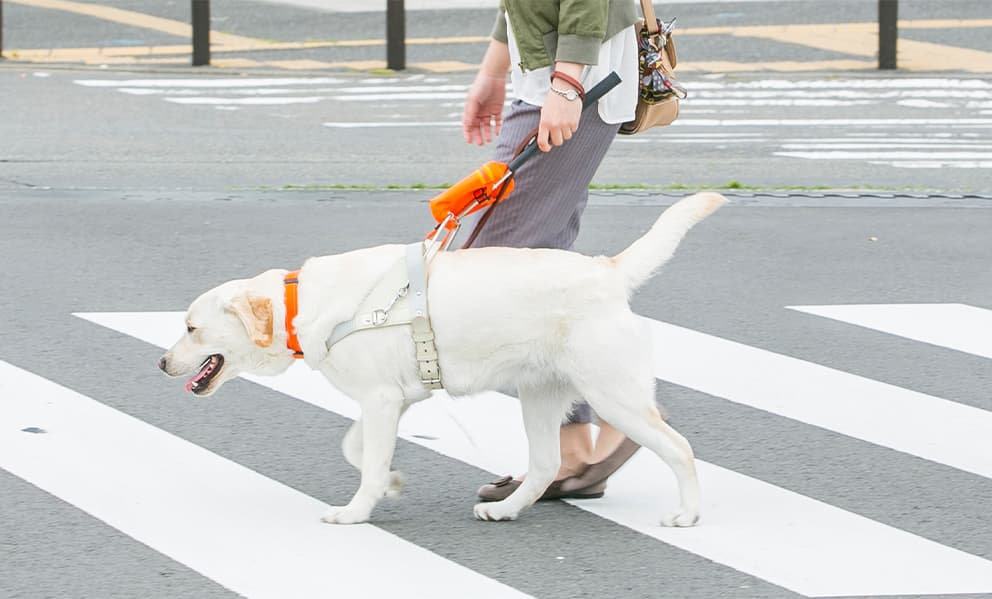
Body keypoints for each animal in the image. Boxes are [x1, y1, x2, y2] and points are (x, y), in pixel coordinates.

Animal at [159, 192, 724, 524]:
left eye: (190, 328)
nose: (161, 364)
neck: (301, 306)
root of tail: (607, 270)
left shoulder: (382, 400)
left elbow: (365, 461)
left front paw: (356, 511)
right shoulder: (392, 400)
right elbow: (356, 448)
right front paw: (389, 484)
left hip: (613, 394)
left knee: (680, 448)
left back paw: (688, 515)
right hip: (540, 395)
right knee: (546, 464)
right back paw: (509, 509)